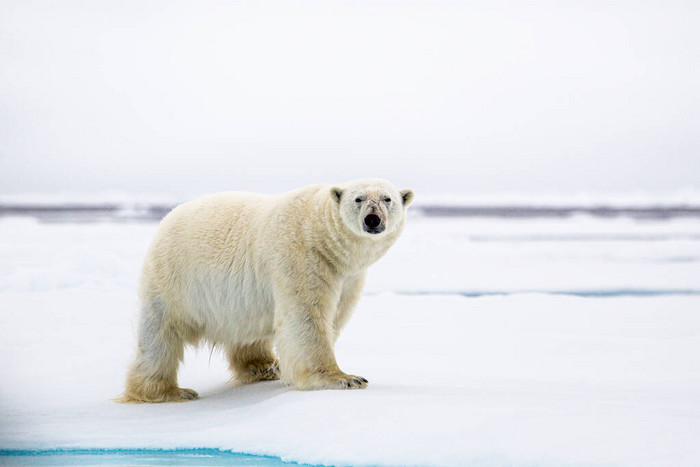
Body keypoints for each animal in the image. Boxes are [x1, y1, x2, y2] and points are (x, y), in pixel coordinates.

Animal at [119, 178, 416, 402]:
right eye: (358, 199)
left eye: (387, 199)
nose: (373, 219)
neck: (320, 233)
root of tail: (166, 219)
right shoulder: (301, 257)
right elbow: (306, 317)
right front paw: (344, 378)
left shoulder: (348, 276)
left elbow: (335, 316)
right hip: (174, 280)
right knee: (159, 336)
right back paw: (167, 391)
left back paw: (264, 367)